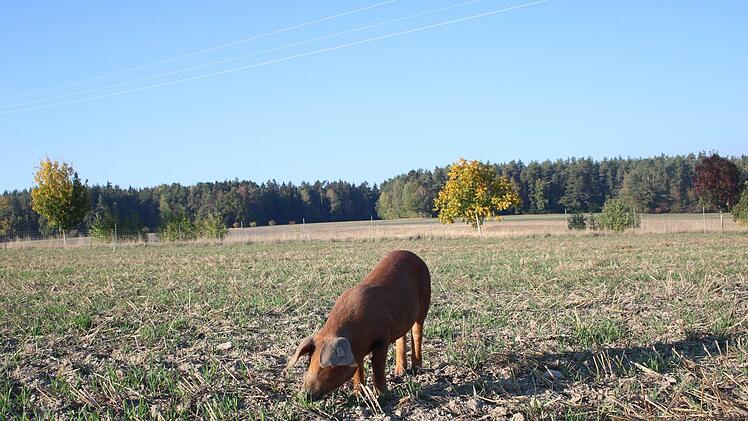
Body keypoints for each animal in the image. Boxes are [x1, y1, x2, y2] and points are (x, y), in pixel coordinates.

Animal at [285, 250, 431, 401]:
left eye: (330, 366)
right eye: (309, 361)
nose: (303, 395)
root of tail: (413, 255)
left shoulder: (382, 338)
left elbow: (377, 365)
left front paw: (382, 395)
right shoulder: (358, 350)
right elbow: (358, 368)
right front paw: (358, 394)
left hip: (425, 301)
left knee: (417, 333)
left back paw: (416, 370)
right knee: (401, 337)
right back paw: (399, 372)